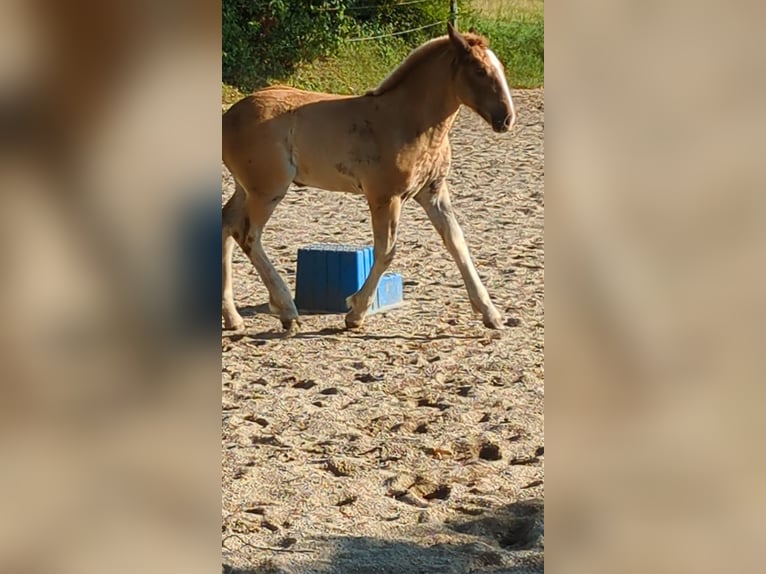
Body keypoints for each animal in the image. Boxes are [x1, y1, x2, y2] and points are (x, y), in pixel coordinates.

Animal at [225, 24, 520, 336]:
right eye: (478, 69)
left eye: (500, 67)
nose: (506, 119)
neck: (407, 121)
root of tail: (228, 116)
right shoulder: (385, 197)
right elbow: (386, 251)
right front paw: (355, 313)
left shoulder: (433, 192)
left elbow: (456, 242)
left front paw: (491, 313)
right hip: (268, 190)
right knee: (248, 235)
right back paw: (287, 312)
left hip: (247, 188)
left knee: (227, 225)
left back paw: (233, 318)